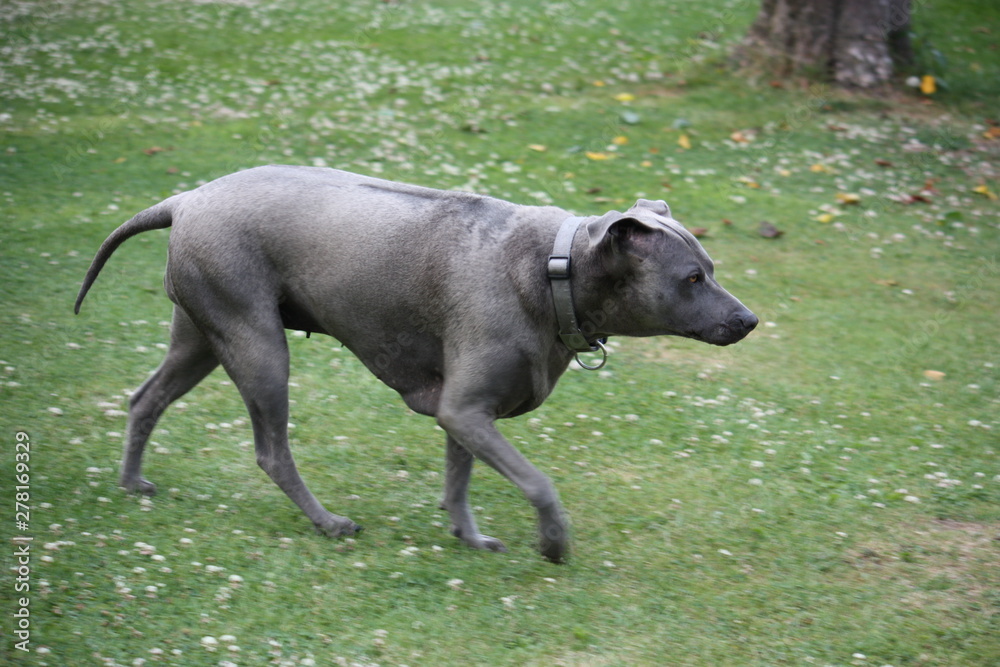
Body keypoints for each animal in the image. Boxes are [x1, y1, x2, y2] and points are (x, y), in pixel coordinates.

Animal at [74, 164, 752, 560]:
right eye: (692, 278)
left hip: (199, 337)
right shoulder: (466, 410)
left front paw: (468, 536)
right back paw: (328, 523)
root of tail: (186, 198)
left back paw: (132, 482)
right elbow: (538, 481)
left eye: (711, 268)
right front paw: (554, 541)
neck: (553, 270)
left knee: (145, 399)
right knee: (272, 452)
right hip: (257, 344)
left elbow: (458, 482)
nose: (749, 320)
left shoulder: (467, 412)